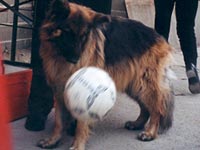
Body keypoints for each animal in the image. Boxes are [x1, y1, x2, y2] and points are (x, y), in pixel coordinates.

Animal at [37, 0, 173, 149]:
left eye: (84, 35)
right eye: (67, 32)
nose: (75, 59)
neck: (60, 57)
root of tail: (159, 37)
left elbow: (81, 125)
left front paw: (77, 145)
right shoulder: (59, 90)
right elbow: (58, 121)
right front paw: (53, 140)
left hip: (144, 85)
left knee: (157, 109)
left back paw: (150, 133)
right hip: (134, 86)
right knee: (145, 107)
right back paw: (137, 124)